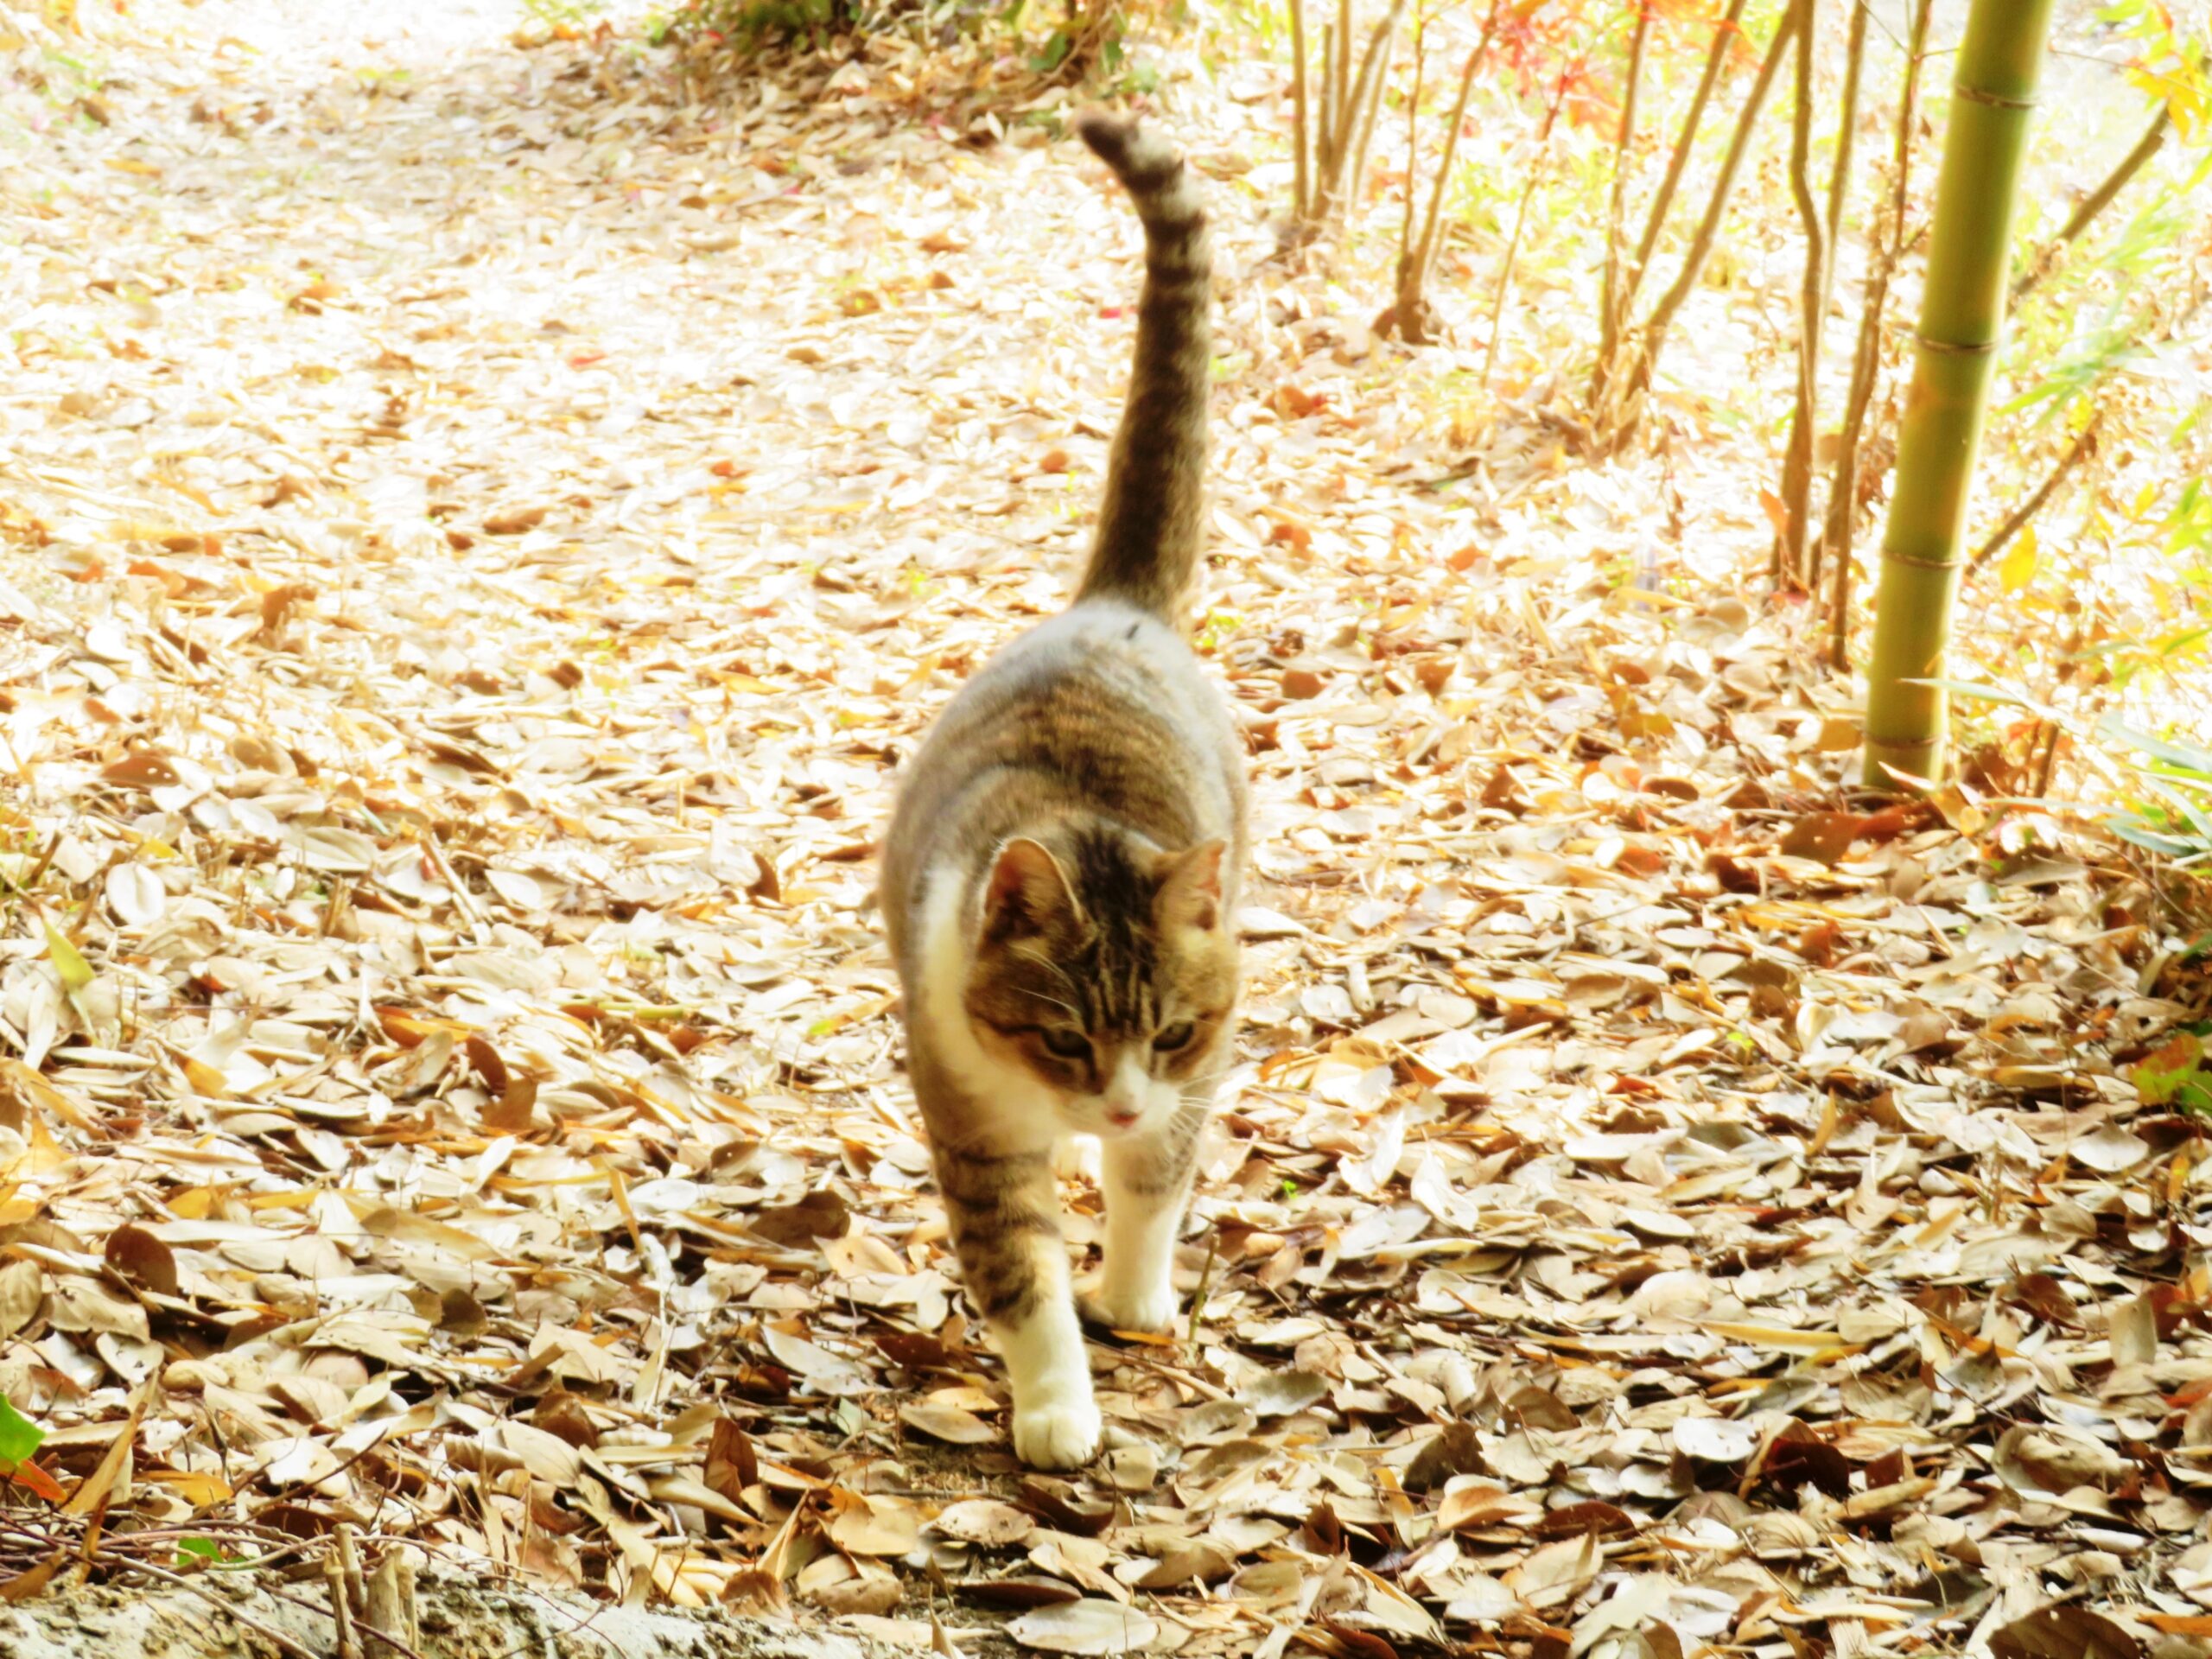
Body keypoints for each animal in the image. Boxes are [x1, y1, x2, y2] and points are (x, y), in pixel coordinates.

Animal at [875, 111, 1247, 1478]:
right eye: (1066, 1038)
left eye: (1172, 1032)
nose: (1121, 1101)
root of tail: (1114, 604)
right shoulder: (972, 1128)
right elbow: (1019, 1273)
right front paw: (1056, 1404)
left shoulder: (1195, 1080)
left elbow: (1155, 1190)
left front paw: (1133, 1295)